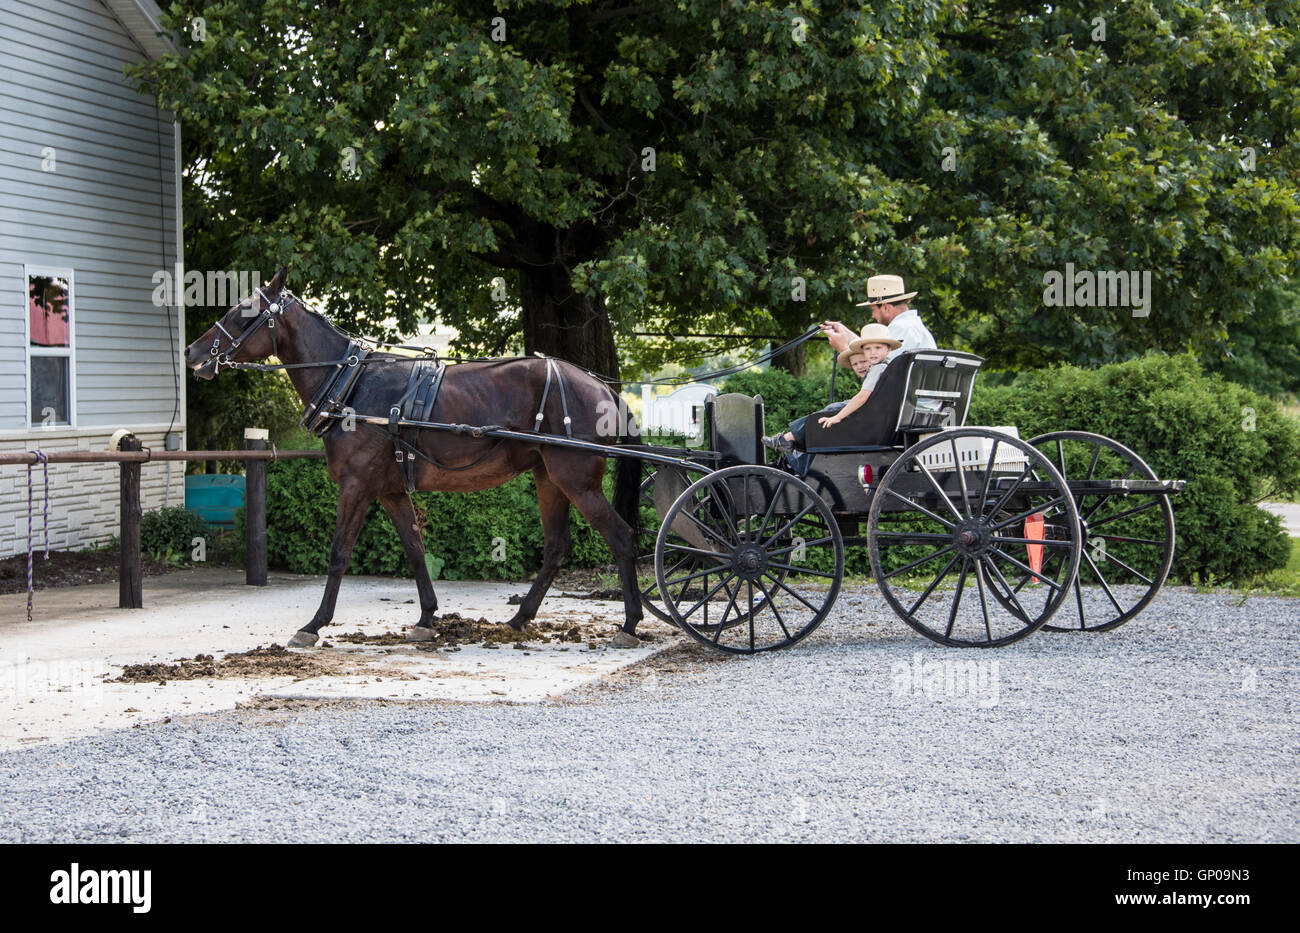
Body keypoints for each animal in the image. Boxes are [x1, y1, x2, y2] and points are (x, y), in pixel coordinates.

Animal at [184, 270, 644, 649]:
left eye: (243, 313)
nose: (192, 352)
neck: (351, 385)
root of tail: (604, 388)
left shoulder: (356, 486)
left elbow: (339, 554)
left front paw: (314, 624)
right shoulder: (388, 490)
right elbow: (415, 548)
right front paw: (426, 618)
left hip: (576, 480)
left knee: (621, 537)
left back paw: (629, 624)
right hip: (549, 478)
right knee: (555, 546)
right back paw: (520, 618)